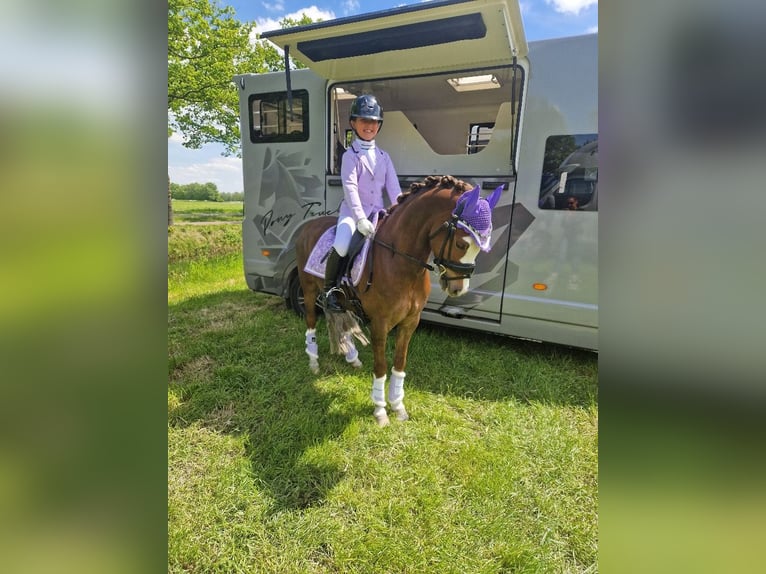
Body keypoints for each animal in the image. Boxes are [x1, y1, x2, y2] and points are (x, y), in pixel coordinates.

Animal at [295, 175, 502, 426]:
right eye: (462, 244)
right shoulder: (380, 324)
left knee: (340, 320)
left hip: (341, 300)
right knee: (311, 323)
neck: (402, 262)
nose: (458, 288)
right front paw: (380, 411)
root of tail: (307, 227)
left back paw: (352, 358)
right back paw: (314, 362)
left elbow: (399, 363)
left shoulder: (410, 322)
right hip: (308, 291)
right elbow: (381, 367)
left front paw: (397, 406)